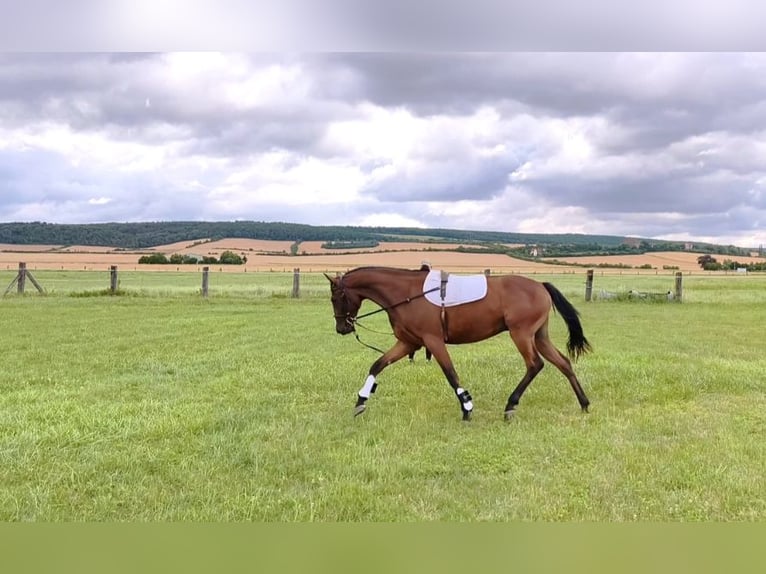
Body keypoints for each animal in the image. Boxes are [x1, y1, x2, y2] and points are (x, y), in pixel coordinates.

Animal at [325, 266, 591, 421]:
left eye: (335, 298)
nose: (341, 329)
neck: (407, 294)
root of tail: (540, 286)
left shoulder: (433, 341)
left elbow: (451, 374)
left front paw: (467, 407)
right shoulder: (408, 343)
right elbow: (377, 365)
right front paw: (361, 401)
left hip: (521, 334)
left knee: (535, 364)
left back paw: (510, 405)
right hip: (539, 336)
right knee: (563, 363)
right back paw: (584, 403)